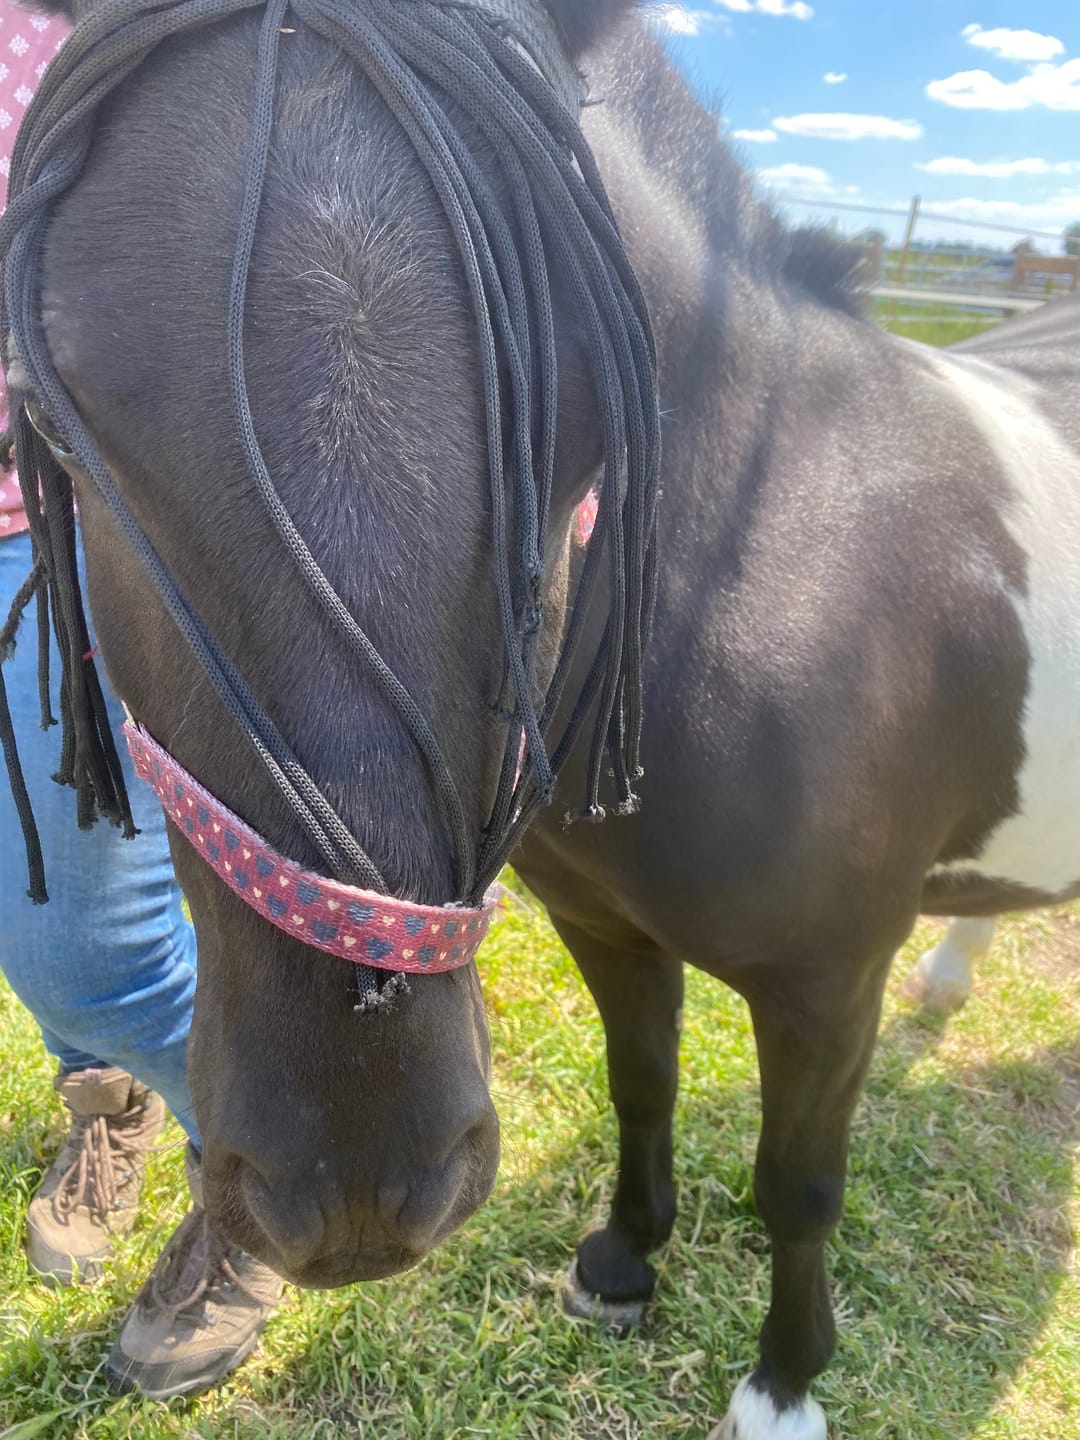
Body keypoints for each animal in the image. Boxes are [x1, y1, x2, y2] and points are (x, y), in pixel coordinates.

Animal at [5, 2, 1080, 1436]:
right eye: (52, 418)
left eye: (574, 428)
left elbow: (799, 1186)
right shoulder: (604, 925)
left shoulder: (827, 982)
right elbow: (643, 1084)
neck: (784, 564)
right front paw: (623, 1264)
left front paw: (784, 1383)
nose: (353, 1194)